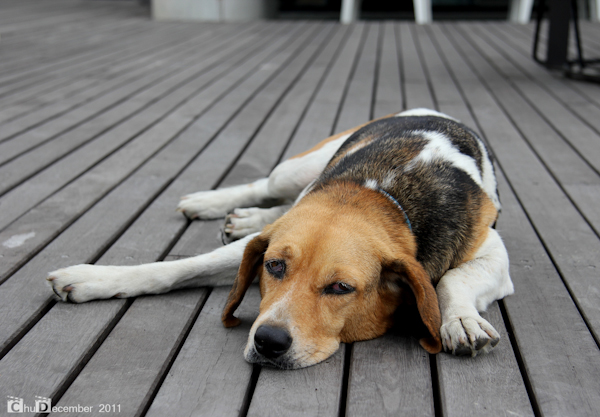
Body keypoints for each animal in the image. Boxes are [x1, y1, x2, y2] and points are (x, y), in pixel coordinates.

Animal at [49, 109, 512, 368]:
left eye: (340, 288)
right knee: (266, 187)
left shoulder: (493, 252)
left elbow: (453, 278)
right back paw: (215, 202)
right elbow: (179, 267)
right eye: (274, 266)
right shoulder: (265, 244)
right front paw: (94, 278)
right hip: (294, 170)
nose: (268, 341)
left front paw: (462, 320)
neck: (381, 198)